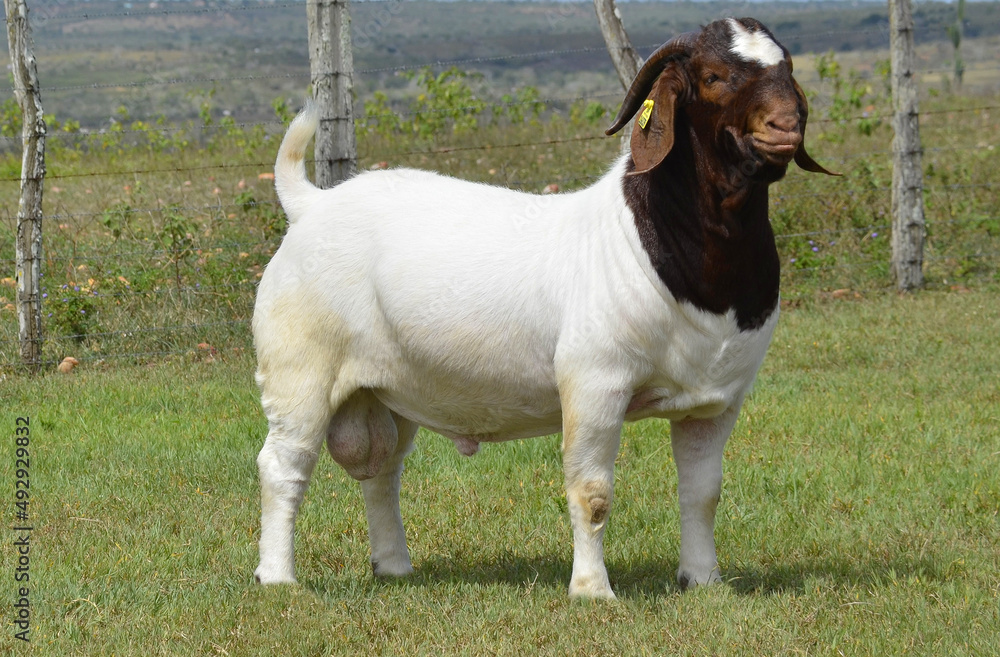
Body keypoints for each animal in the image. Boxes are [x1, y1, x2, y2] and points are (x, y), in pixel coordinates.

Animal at [253, 17, 835, 599]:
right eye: (713, 76)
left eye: (786, 66)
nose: (785, 125)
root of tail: (311, 204)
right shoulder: (595, 384)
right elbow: (592, 492)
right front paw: (593, 591)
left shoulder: (717, 402)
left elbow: (702, 493)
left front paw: (704, 580)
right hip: (300, 370)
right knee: (284, 465)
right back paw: (278, 577)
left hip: (388, 390)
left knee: (383, 470)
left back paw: (393, 564)